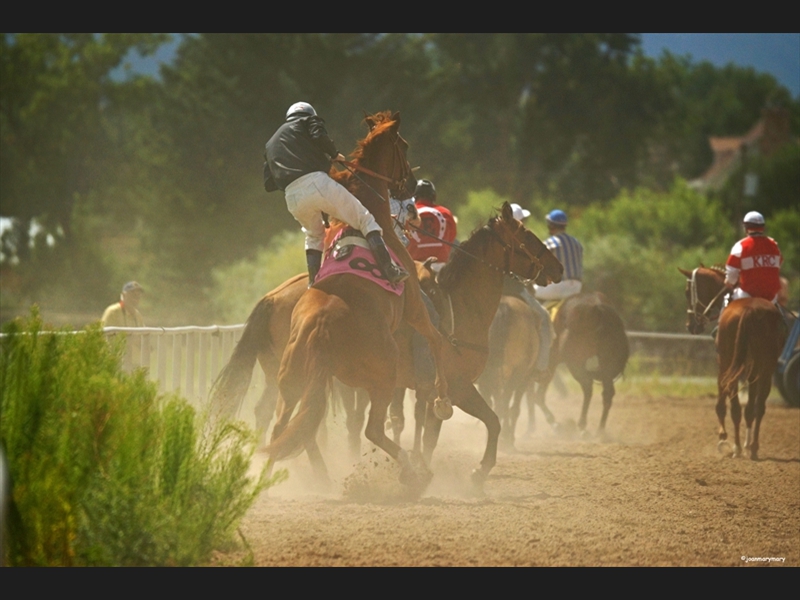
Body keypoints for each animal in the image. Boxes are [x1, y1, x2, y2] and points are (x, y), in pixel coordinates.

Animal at [532, 292, 632, 436]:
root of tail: (598, 308)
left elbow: (535, 397)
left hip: (575, 365)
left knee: (587, 389)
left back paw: (581, 426)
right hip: (606, 367)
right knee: (607, 393)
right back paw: (600, 431)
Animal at [680, 264, 788, 458]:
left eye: (687, 292)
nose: (690, 325)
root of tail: (749, 310)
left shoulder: (722, 363)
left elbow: (722, 404)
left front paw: (723, 439)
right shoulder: (751, 369)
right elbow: (750, 407)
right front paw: (746, 443)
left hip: (730, 361)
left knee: (736, 407)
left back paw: (737, 447)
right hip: (765, 366)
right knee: (758, 406)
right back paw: (753, 448)